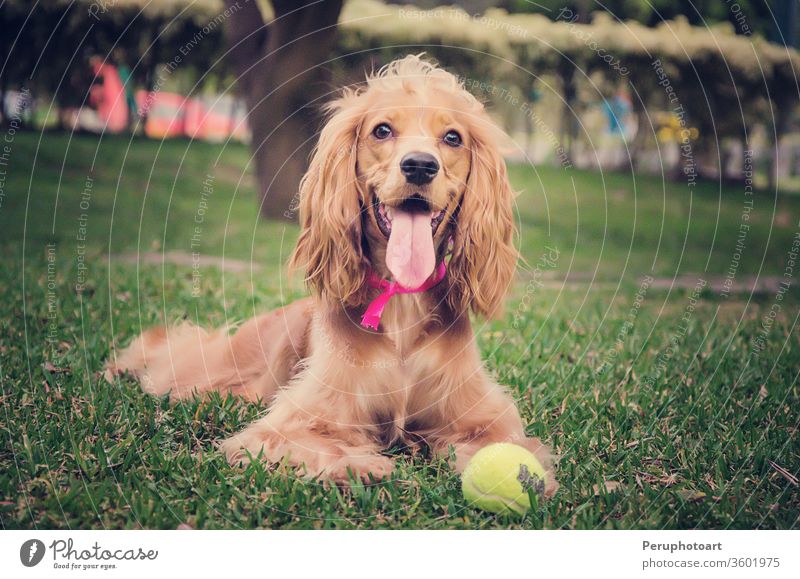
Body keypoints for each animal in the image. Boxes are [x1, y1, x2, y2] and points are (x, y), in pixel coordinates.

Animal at [106, 56, 556, 496]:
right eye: (382, 130)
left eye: (452, 137)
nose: (419, 166)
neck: (401, 305)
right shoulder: (287, 423)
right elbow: (314, 443)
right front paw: (367, 465)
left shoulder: (484, 416)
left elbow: (500, 444)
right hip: (220, 369)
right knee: (172, 353)